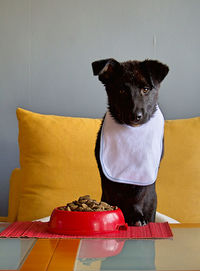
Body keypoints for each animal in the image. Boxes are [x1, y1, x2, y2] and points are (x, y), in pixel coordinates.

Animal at [92, 58, 169, 226]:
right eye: (122, 91)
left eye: (146, 89)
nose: (136, 116)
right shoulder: (106, 177)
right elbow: (113, 193)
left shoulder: (144, 179)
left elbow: (138, 197)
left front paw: (136, 217)